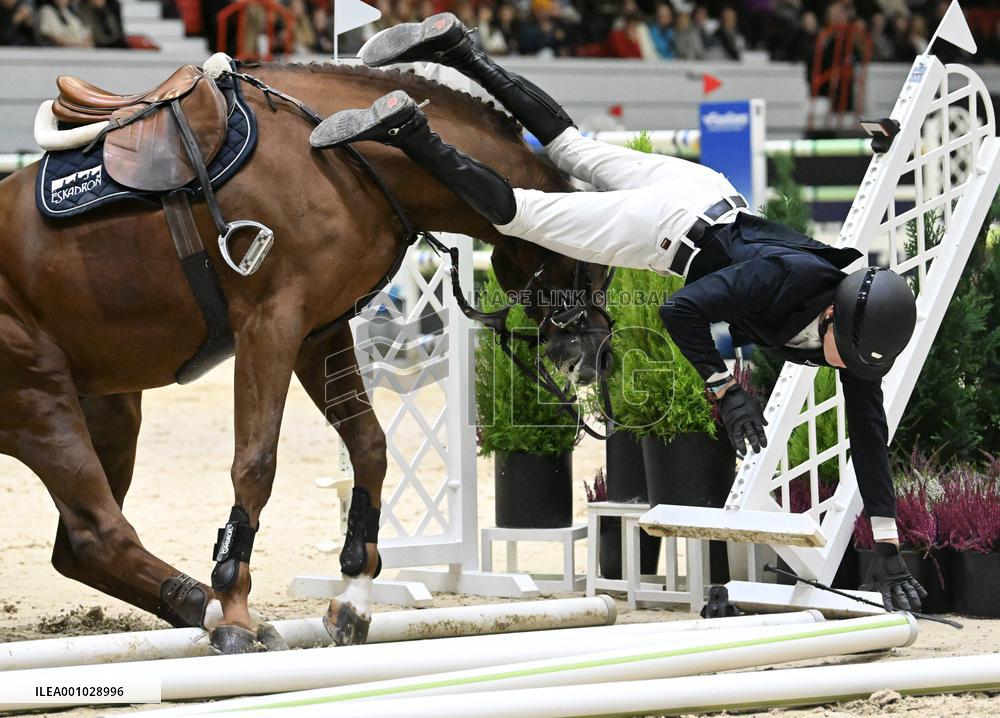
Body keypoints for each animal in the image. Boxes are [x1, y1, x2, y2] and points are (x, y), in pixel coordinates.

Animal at [0, 62, 612, 653]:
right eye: (595, 258)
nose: (597, 355)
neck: (337, 153)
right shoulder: (270, 325)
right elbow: (255, 465)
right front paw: (236, 612)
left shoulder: (321, 333)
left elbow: (370, 448)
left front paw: (353, 598)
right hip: (38, 396)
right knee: (97, 533)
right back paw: (213, 609)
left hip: (111, 406)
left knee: (76, 547)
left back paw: (197, 605)